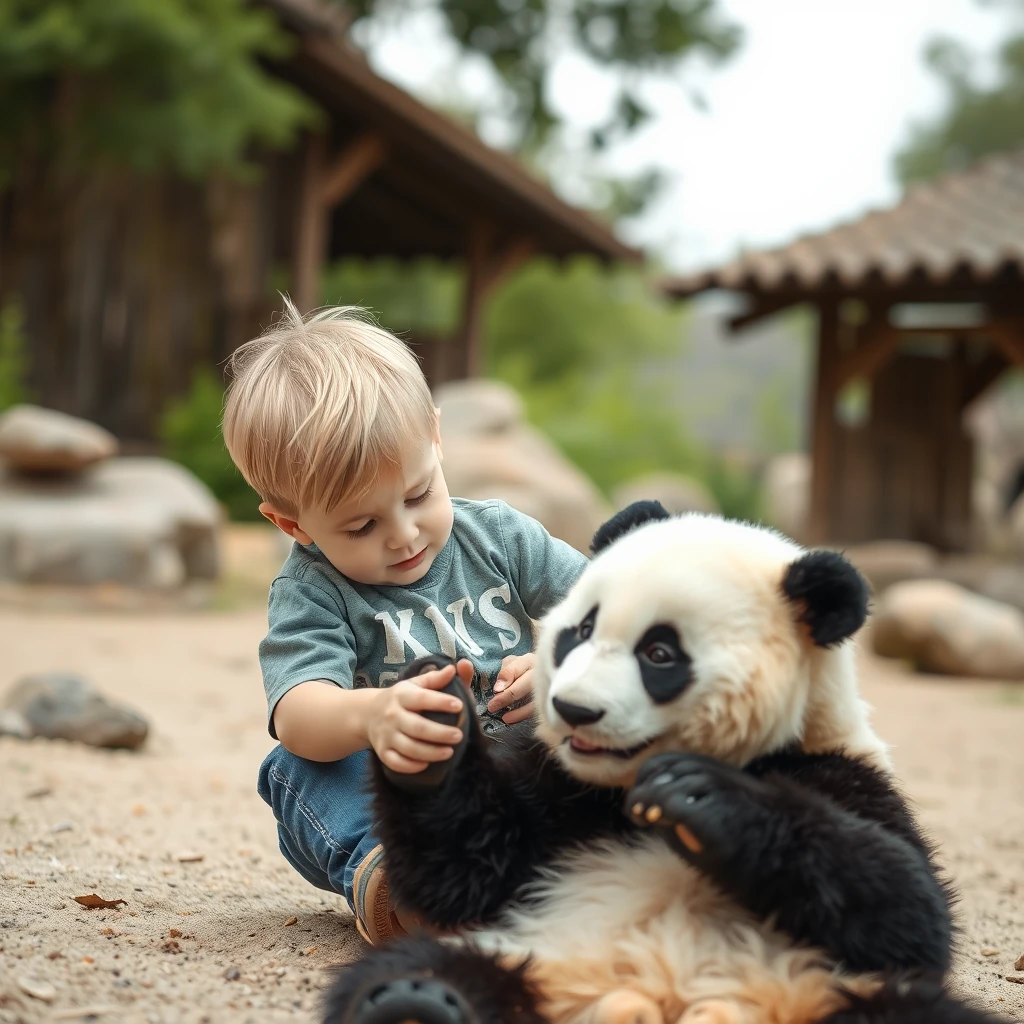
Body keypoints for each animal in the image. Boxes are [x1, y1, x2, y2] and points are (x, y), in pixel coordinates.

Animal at [325, 507, 999, 1024]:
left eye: (659, 653)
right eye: (580, 631)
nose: (573, 710)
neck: (622, 790)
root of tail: (653, 999)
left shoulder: (836, 770)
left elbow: (910, 914)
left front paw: (702, 801)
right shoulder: (560, 799)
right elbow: (469, 867)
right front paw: (429, 726)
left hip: (820, 985)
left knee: (914, 1014)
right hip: (531, 951)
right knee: (423, 968)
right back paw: (418, 1001)